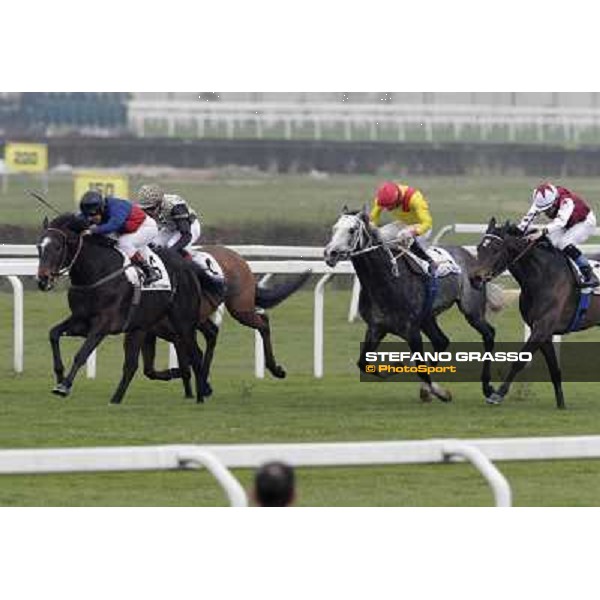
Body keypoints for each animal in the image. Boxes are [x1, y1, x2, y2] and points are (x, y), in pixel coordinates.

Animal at [38, 213, 206, 406]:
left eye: (58, 247)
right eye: (39, 247)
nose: (42, 280)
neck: (97, 272)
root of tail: (189, 268)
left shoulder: (103, 324)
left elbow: (81, 354)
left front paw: (64, 386)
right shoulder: (81, 321)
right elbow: (53, 334)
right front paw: (59, 376)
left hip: (183, 324)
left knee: (196, 354)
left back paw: (201, 395)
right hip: (140, 328)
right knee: (132, 365)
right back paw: (116, 398)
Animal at [140, 245, 310, 398]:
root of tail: (237, 257)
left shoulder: (178, 334)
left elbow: (185, 364)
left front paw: (193, 388)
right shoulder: (151, 333)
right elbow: (150, 370)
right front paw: (194, 386)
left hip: (240, 309)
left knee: (263, 323)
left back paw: (275, 369)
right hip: (209, 317)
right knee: (213, 334)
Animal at [474, 218, 600, 410]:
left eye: (495, 249)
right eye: (479, 248)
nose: (475, 278)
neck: (542, 275)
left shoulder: (542, 328)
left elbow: (520, 360)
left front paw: (497, 394)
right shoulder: (543, 332)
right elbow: (554, 369)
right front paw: (561, 404)